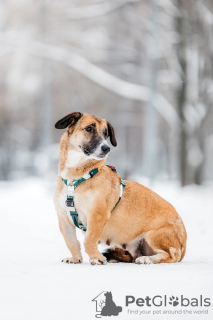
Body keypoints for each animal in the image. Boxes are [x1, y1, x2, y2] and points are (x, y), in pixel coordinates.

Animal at [53, 112, 186, 264]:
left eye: (106, 133)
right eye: (89, 128)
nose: (106, 148)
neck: (77, 178)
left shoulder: (97, 216)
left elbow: (88, 240)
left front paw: (97, 258)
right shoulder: (64, 218)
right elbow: (71, 243)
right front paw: (76, 259)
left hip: (154, 234)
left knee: (170, 256)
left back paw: (147, 259)